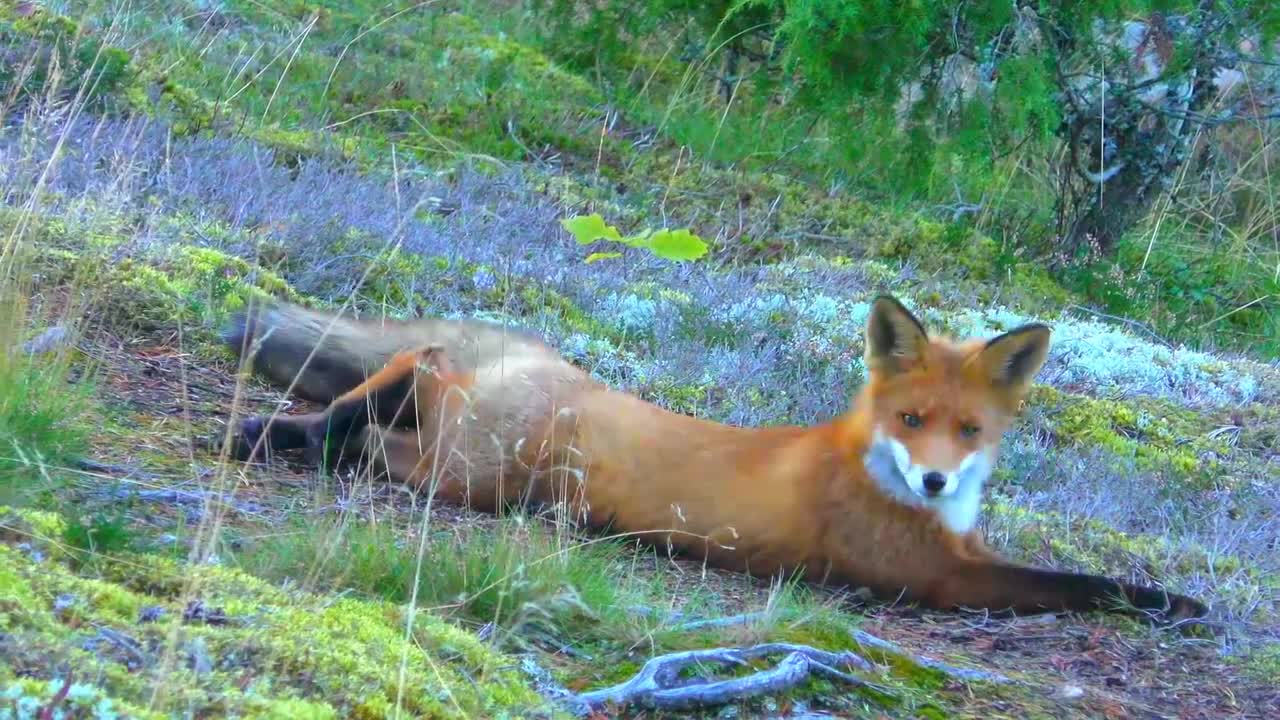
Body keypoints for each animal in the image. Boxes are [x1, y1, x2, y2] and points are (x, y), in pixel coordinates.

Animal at [227, 294, 1208, 620]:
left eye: (967, 432)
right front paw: (1172, 605)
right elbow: (1074, 583)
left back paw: (286, 434)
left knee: (397, 392)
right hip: (472, 473)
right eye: (911, 418)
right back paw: (294, 436)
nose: (933, 476)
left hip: (471, 457)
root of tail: (560, 364)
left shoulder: (958, 551)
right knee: (399, 398)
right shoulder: (938, 577)